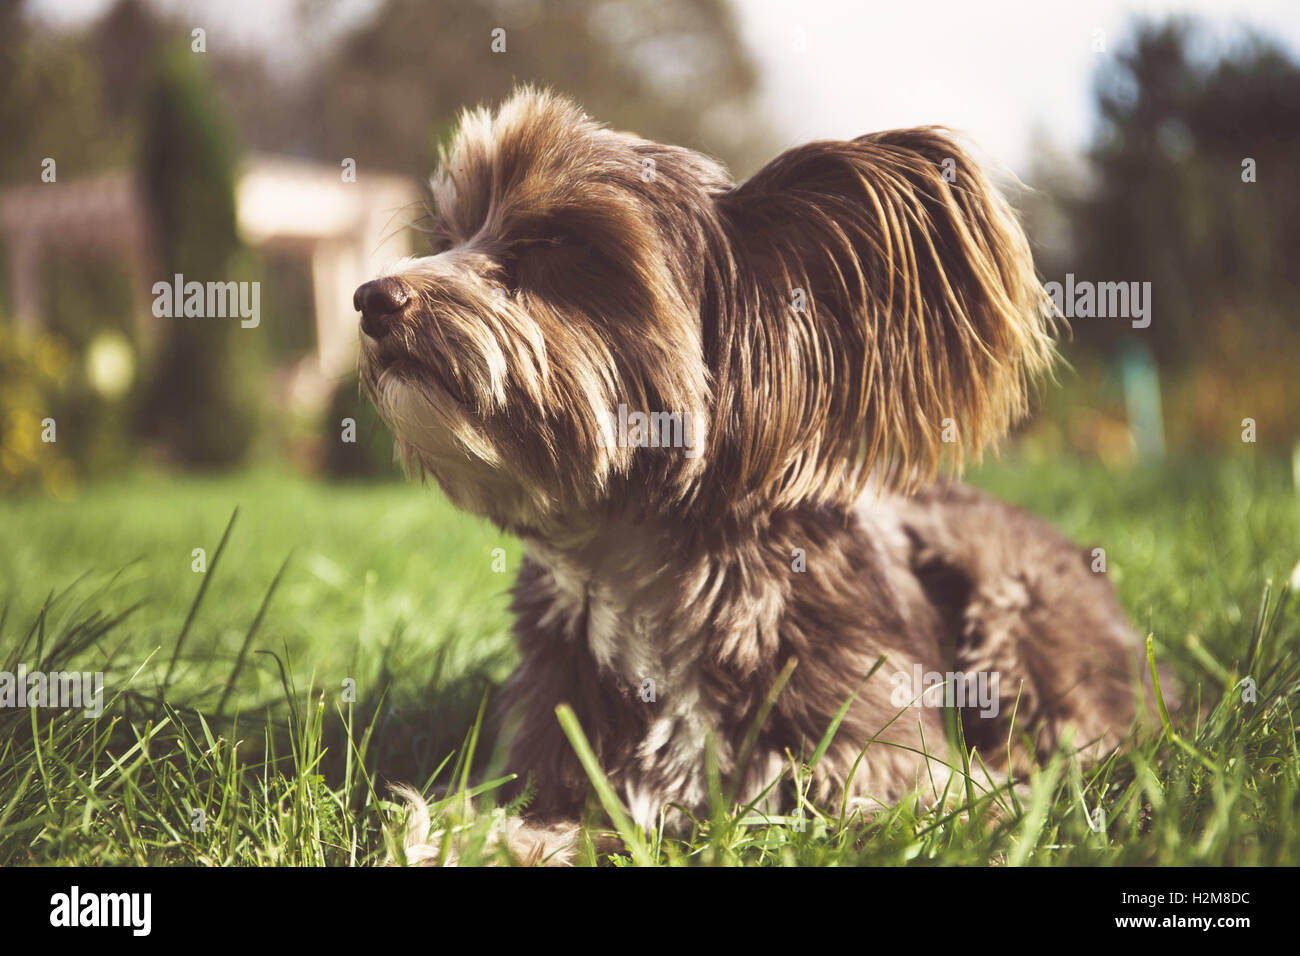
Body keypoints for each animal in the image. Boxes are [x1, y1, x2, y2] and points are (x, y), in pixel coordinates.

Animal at [353, 87, 1149, 868]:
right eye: (449, 237)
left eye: (556, 244)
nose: (371, 298)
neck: (644, 564)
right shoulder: (563, 758)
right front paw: (445, 839)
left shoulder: (894, 765)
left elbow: (914, 811)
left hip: (1009, 602)